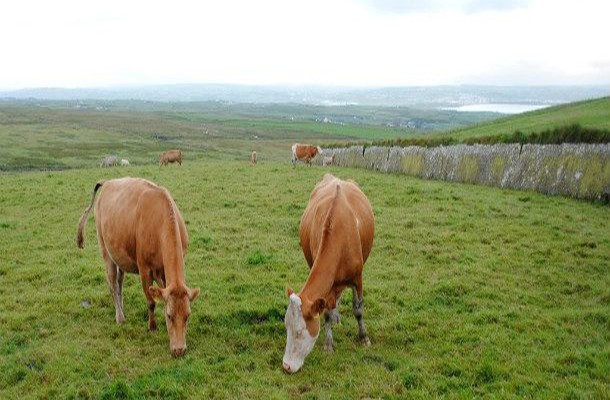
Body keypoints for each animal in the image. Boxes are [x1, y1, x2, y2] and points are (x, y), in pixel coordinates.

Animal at [75, 178, 200, 356]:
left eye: (188, 316)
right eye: (170, 316)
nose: (179, 350)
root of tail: (107, 182)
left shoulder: (165, 272)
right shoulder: (144, 269)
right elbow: (151, 302)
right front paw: (152, 327)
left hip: (119, 254)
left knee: (119, 282)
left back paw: (122, 308)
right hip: (105, 249)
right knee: (112, 283)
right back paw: (120, 317)